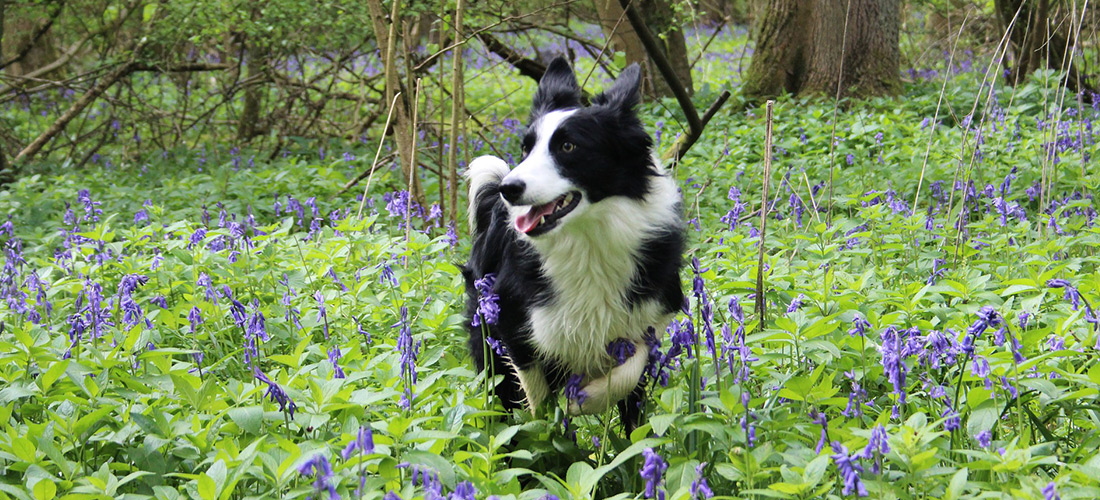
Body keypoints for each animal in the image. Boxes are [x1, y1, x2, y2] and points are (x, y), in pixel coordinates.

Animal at [459, 55, 682, 430]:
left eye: (568, 146)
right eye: (526, 148)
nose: (508, 188)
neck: (586, 240)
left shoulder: (654, 312)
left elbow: (628, 371)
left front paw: (583, 399)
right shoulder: (513, 321)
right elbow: (536, 398)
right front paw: (551, 425)